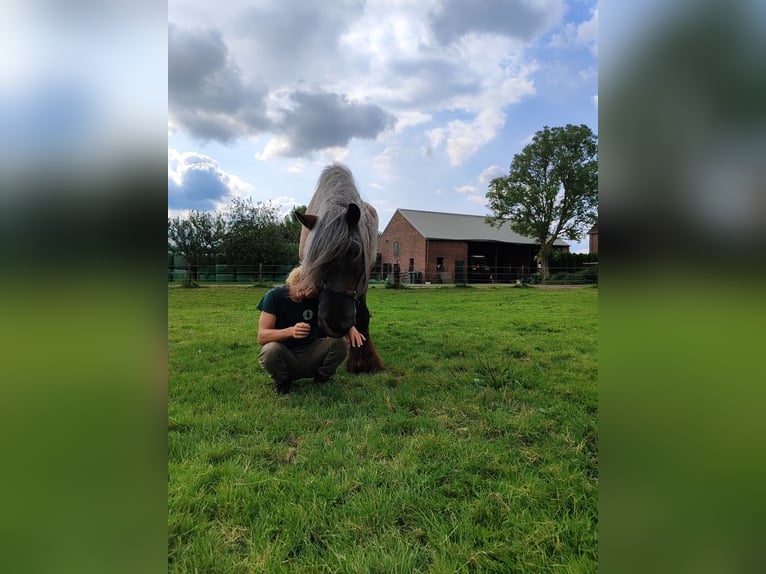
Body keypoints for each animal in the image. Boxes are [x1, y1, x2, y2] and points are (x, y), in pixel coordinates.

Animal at [296, 164, 388, 376]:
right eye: (313, 257)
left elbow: (362, 316)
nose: (335, 325)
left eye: (355, 251)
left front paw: (363, 361)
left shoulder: (363, 281)